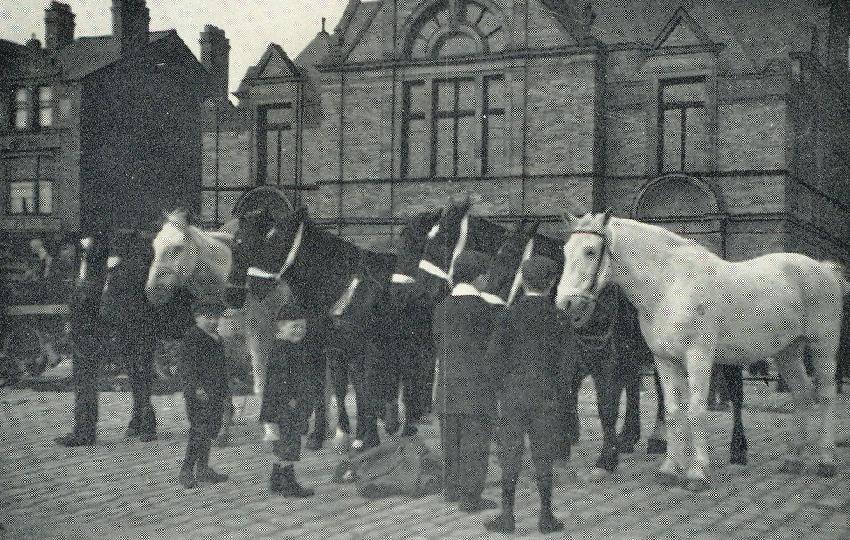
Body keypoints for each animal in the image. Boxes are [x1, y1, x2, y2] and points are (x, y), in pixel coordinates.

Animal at [146, 209, 292, 440]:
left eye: (177, 247)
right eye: (154, 246)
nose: (152, 291)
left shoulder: (259, 336)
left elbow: (261, 382)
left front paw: (271, 430)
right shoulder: (223, 341)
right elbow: (221, 381)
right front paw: (223, 427)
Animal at [552, 211, 844, 490]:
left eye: (590, 251)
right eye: (565, 250)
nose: (565, 304)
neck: (670, 286)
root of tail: (824, 269)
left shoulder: (698, 357)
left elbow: (695, 411)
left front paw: (697, 472)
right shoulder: (664, 360)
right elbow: (672, 412)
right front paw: (670, 469)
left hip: (822, 347)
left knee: (827, 396)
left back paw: (825, 461)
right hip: (788, 351)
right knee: (801, 395)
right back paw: (794, 459)